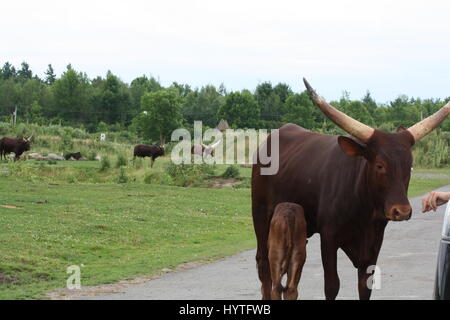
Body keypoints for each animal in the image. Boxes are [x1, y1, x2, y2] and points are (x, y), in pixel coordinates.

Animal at [253, 78, 450, 300]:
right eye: (380, 165)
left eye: (410, 165)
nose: (402, 211)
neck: (363, 209)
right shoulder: (328, 238)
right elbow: (332, 285)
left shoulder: (373, 243)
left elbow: (365, 286)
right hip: (261, 217)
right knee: (264, 264)